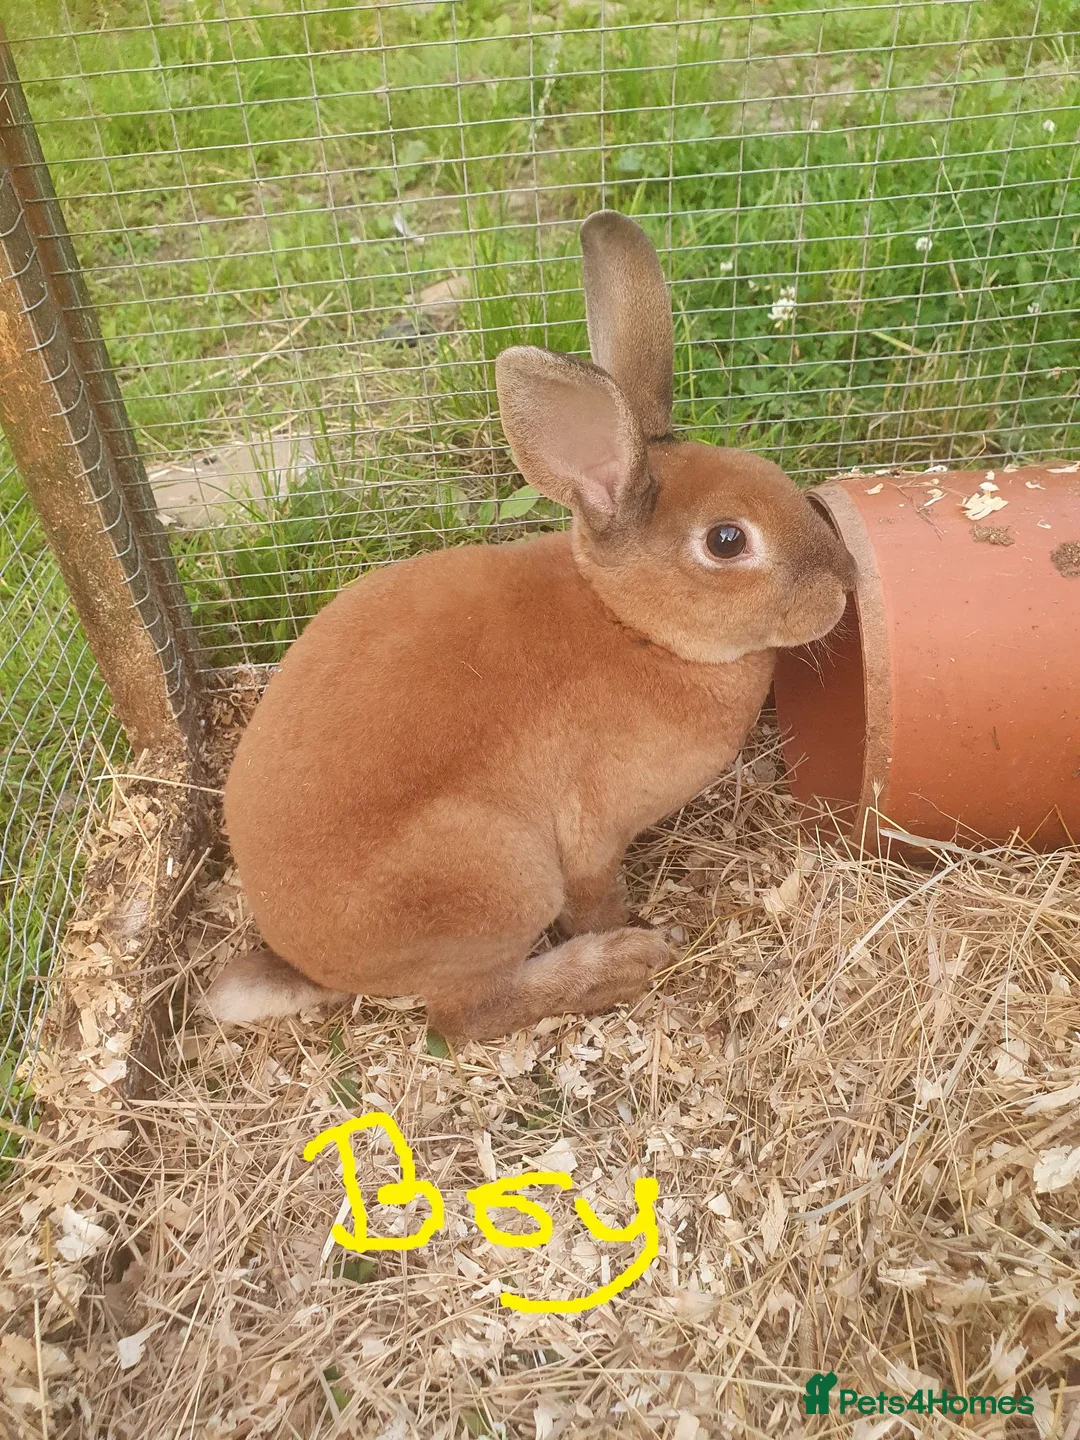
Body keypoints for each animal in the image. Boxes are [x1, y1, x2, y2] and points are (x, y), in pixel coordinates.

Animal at [205, 210, 856, 1041]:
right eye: (726, 541)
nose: (842, 586)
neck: (632, 626)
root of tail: (308, 960)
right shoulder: (589, 835)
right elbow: (595, 896)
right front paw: (632, 929)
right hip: (496, 878)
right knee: (464, 1015)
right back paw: (619, 964)